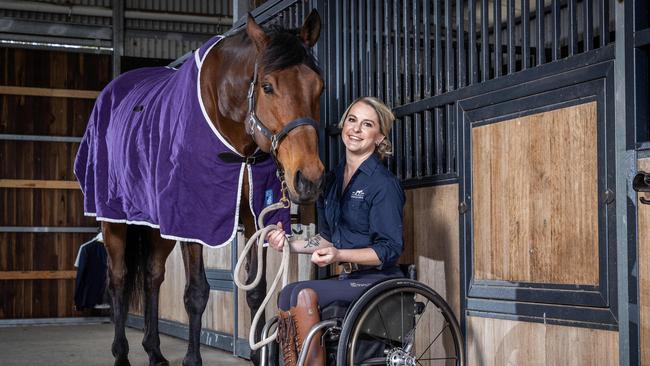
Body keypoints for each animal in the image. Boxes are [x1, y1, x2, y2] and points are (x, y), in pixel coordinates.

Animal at [74, 10, 324, 364]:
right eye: (267, 86)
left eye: (318, 86)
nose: (310, 177)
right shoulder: (194, 219)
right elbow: (196, 291)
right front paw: (192, 358)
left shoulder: (255, 216)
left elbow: (256, 290)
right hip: (114, 220)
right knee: (118, 278)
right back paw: (121, 353)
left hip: (157, 226)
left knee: (152, 276)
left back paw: (154, 351)